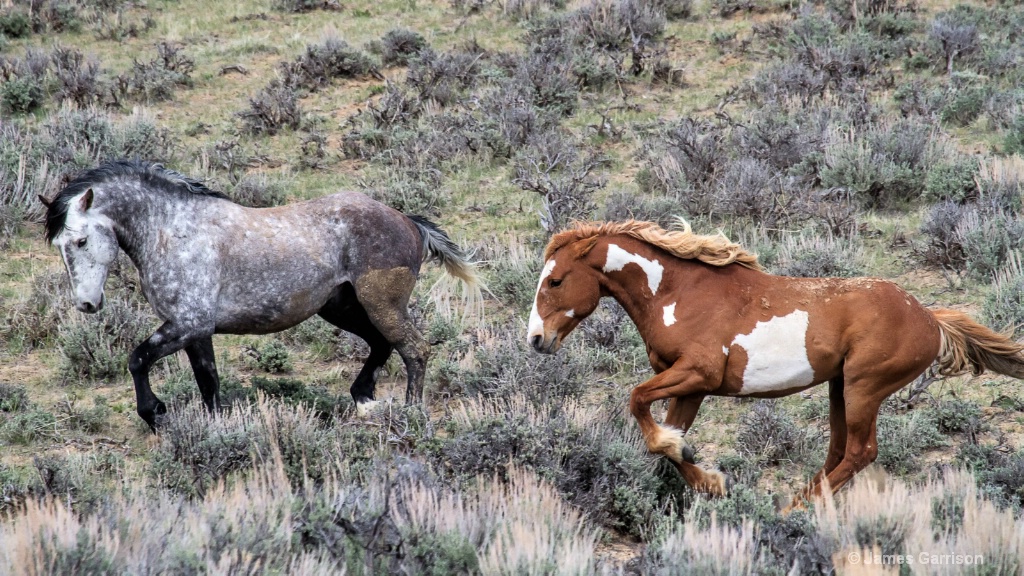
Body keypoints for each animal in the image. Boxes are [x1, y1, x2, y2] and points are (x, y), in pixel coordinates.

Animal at [41, 158, 481, 428]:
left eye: (81, 240)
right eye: (60, 244)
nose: (86, 304)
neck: (171, 230)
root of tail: (408, 221)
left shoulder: (187, 324)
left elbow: (137, 359)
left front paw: (154, 414)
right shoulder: (195, 331)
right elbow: (208, 382)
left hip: (380, 303)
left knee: (415, 350)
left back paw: (410, 413)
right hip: (341, 308)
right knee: (382, 345)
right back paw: (364, 400)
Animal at [528, 218, 1024, 506]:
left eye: (555, 281)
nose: (536, 340)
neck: (677, 293)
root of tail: (928, 317)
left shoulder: (697, 372)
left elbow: (637, 402)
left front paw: (704, 473)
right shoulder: (691, 386)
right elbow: (668, 440)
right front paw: (710, 480)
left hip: (864, 386)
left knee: (861, 451)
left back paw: (798, 508)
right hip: (840, 388)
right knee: (839, 450)